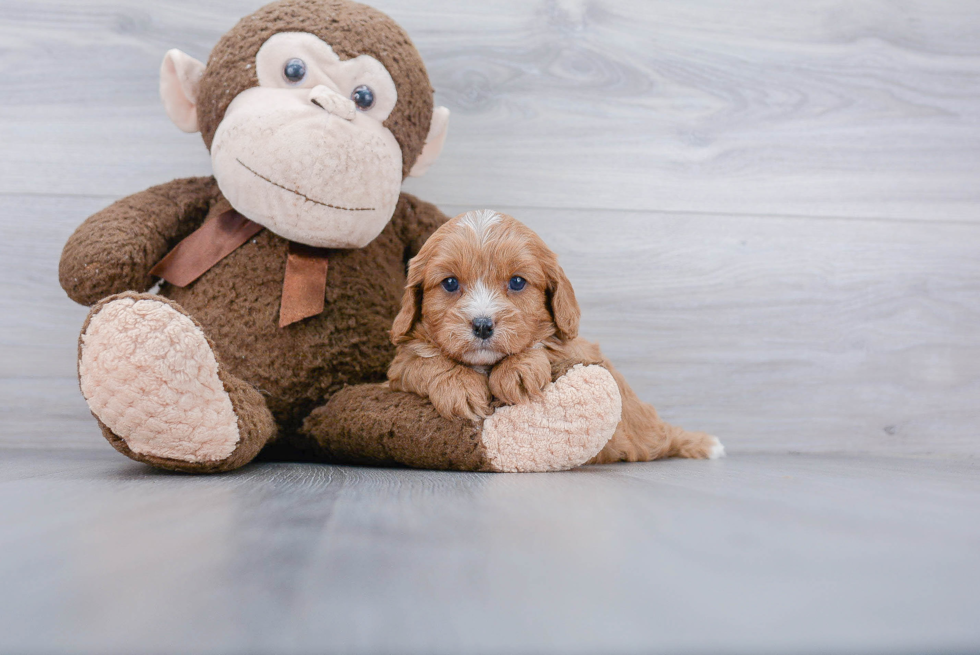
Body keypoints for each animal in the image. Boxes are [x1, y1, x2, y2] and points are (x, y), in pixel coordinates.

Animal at [386, 210, 724, 462]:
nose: (482, 325)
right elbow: (420, 359)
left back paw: (705, 443)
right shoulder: (398, 369)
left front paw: (518, 370)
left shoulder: (575, 346)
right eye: (450, 283)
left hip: (648, 429)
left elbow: (547, 343)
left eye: (517, 282)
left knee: (668, 435)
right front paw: (460, 387)